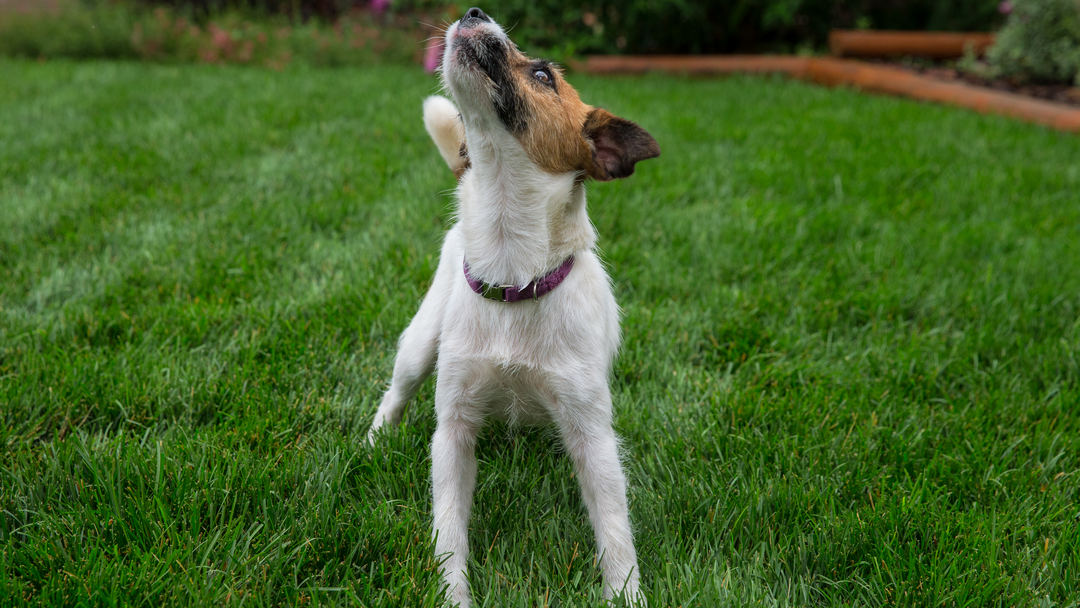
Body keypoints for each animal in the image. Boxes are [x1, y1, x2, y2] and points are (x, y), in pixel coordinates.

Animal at [367, 7, 656, 604]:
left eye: (543, 75)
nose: (474, 12)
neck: (514, 278)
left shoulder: (594, 438)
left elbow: (615, 531)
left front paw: (626, 593)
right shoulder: (453, 431)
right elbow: (449, 530)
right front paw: (453, 594)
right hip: (420, 342)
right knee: (397, 390)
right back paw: (374, 440)